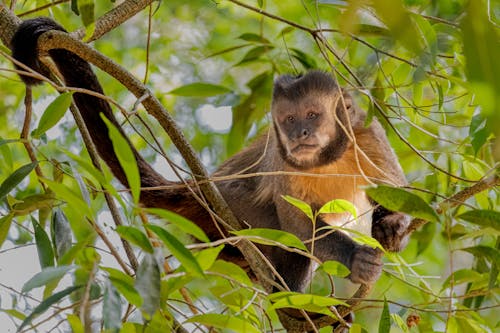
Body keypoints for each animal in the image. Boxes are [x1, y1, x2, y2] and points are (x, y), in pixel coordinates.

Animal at [11, 16, 410, 294]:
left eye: (313, 115)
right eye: (289, 119)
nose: (300, 134)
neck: (328, 157)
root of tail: (205, 187)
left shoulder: (367, 135)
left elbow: (395, 191)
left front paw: (391, 228)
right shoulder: (282, 159)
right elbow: (298, 226)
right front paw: (356, 258)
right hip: (229, 214)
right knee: (279, 230)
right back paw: (291, 304)